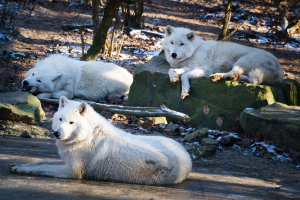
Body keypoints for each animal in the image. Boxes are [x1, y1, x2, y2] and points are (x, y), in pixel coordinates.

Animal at [9, 96, 192, 185]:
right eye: (60, 119)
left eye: (71, 122)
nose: (57, 133)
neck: (86, 136)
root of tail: (188, 158)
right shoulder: (67, 162)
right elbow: (40, 162)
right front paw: (18, 166)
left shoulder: (73, 172)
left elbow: (43, 168)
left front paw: (23, 170)